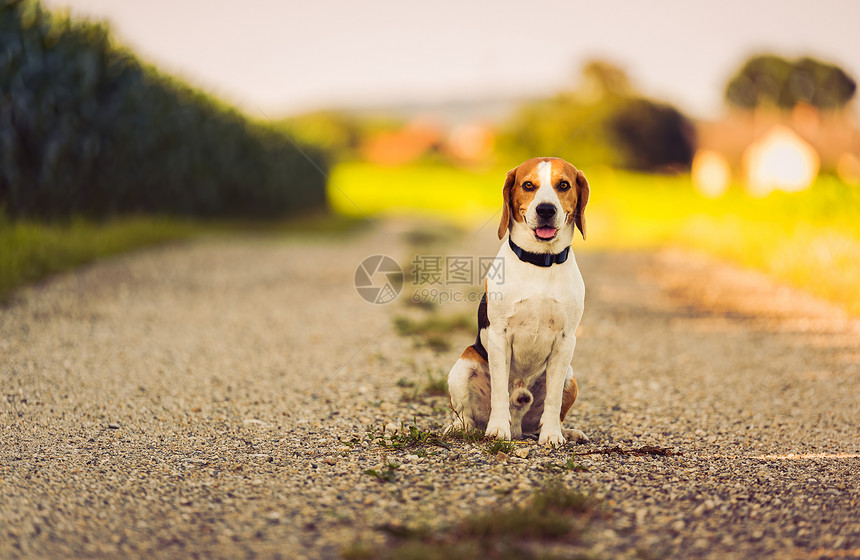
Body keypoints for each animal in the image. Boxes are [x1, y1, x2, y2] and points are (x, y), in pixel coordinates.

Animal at [446, 158, 588, 446]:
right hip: (463, 365)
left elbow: (553, 400)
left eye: (563, 185)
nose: (546, 209)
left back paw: (566, 431)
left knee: (552, 411)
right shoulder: (499, 336)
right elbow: (500, 390)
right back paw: (462, 427)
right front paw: (498, 429)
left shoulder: (566, 340)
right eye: (528, 185)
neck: (541, 261)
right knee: (466, 416)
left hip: (570, 376)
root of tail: (521, 427)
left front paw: (552, 435)